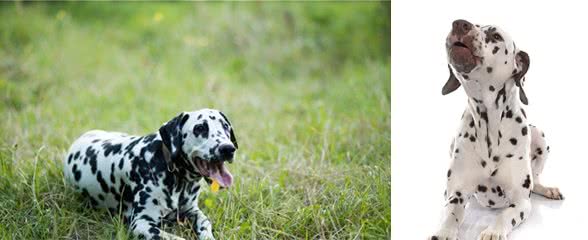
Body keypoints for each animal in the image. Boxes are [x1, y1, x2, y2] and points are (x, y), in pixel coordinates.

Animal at [63, 109, 238, 240]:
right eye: (200, 128)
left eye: (225, 126)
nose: (228, 148)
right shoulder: (141, 223)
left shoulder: (192, 211)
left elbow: (205, 223)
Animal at [430, 20, 564, 240]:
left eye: (496, 36)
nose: (459, 23)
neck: (489, 126)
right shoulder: (457, 194)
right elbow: (450, 215)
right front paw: (443, 232)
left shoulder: (520, 202)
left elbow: (505, 216)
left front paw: (493, 231)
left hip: (540, 136)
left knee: (535, 180)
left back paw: (547, 188)